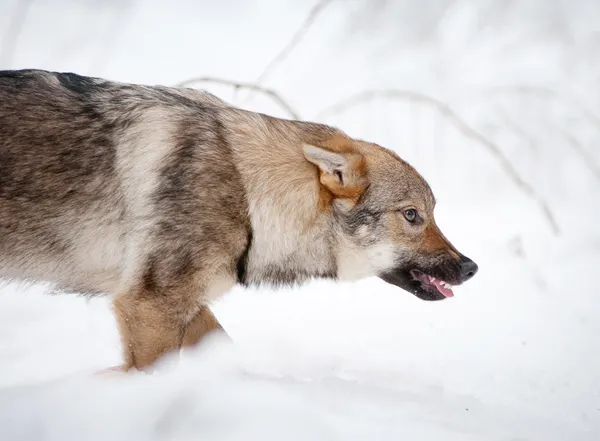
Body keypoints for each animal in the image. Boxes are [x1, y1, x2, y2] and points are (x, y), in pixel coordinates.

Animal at [0, 69, 478, 370]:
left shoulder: (186, 308)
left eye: (432, 213)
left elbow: (223, 348)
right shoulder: (149, 306)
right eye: (413, 215)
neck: (249, 192)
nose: (471, 267)